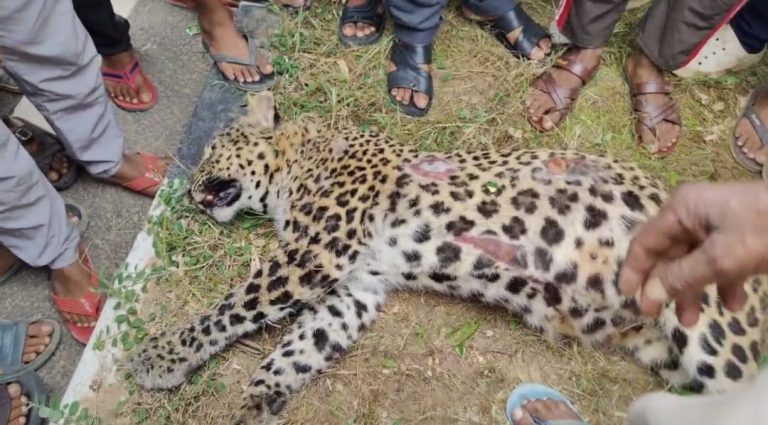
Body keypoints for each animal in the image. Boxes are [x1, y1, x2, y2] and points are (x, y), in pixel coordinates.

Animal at [131, 91, 768, 424]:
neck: (301, 162)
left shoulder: (315, 252)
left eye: (212, 151)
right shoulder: (357, 286)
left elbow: (230, 308)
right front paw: (257, 401)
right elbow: (301, 346)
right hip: (666, 346)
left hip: (715, 321)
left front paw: (162, 355)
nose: (189, 189)